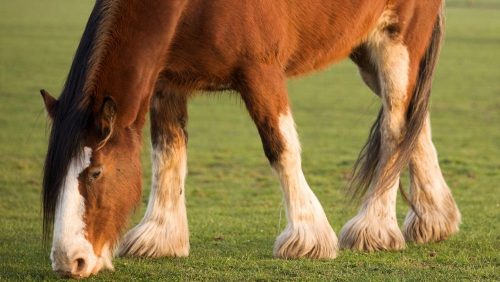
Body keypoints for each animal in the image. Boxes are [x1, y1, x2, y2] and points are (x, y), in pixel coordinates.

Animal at [41, 0, 458, 278]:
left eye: (95, 173)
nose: (68, 261)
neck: (187, 8)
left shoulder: (261, 72)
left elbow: (281, 147)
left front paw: (307, 238)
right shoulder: (167, 84)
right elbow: (167, 155)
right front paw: (161, 238)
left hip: (397, 43)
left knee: (395, 129)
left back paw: (375, 228)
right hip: (366, 48)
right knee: (414, 123)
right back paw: (434, 219)